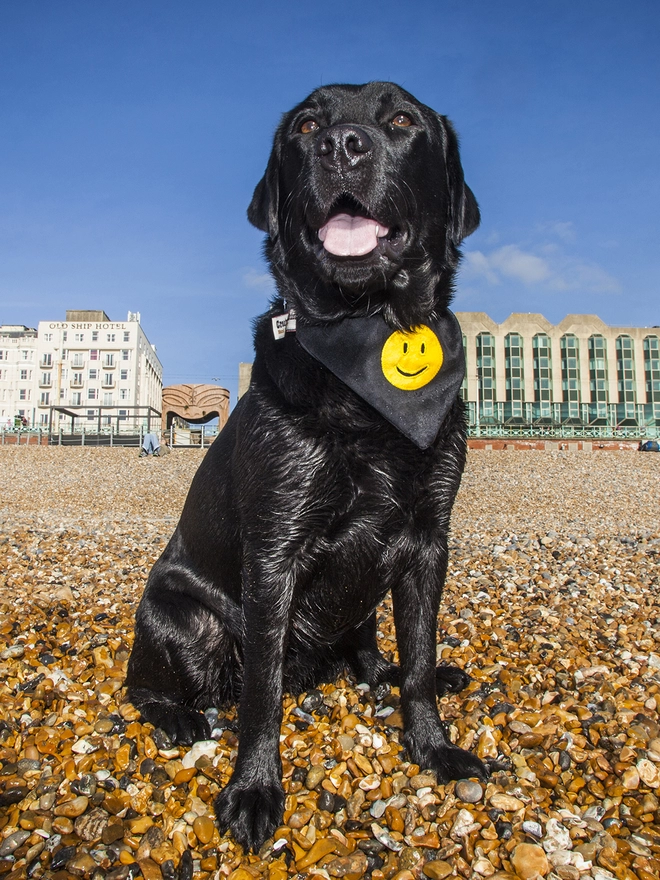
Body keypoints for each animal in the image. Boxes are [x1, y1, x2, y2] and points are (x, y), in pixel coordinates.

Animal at [125, 82, 484, 852]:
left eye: (402, 119)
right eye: (306, 124)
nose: (341, 145)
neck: (366, 330)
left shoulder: (429, 540)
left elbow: (417, 659)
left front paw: (434, 747)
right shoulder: (275, 549)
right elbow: (261, 691)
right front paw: (255, 790)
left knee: (374, 647)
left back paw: (383, 672)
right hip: (183, 615)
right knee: (146, 684)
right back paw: (179, 716)